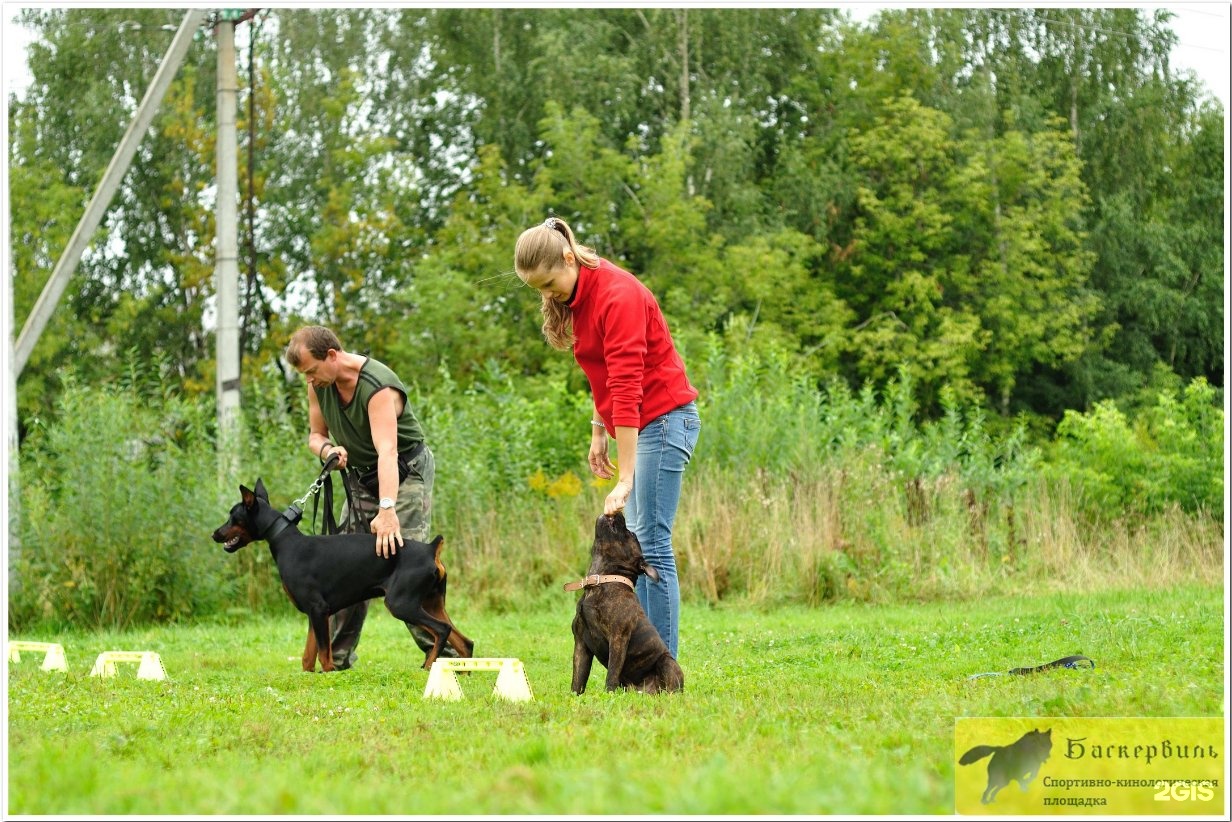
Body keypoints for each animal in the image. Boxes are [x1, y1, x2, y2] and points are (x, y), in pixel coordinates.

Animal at [564, 515, 684, 695]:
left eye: (632, 534)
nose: (620, 515)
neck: (601, 581)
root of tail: (645, 691)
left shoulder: (618, 639)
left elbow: (611, 674)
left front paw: (609, 695)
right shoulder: (580, 644)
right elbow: (578, 679)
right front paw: (574, 698)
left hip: (667, 662)